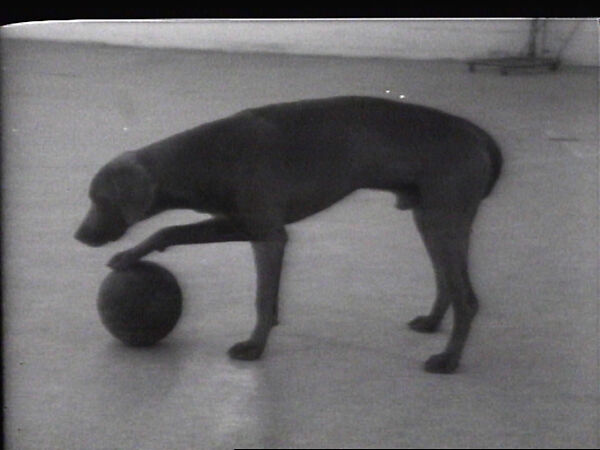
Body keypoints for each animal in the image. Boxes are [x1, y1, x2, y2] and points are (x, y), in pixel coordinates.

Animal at [77, 96, 504, 374]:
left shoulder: (266, 232)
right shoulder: (250, 230)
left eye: (99, 200)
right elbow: (176, 233)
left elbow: (260, 296)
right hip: (431, 218)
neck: (204, 155)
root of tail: (475, 131)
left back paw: (448, 360)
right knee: (447, 282)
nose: (79, 236)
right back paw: (432, 323)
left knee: (468, 299)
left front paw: (254, 346)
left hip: (441, 220)